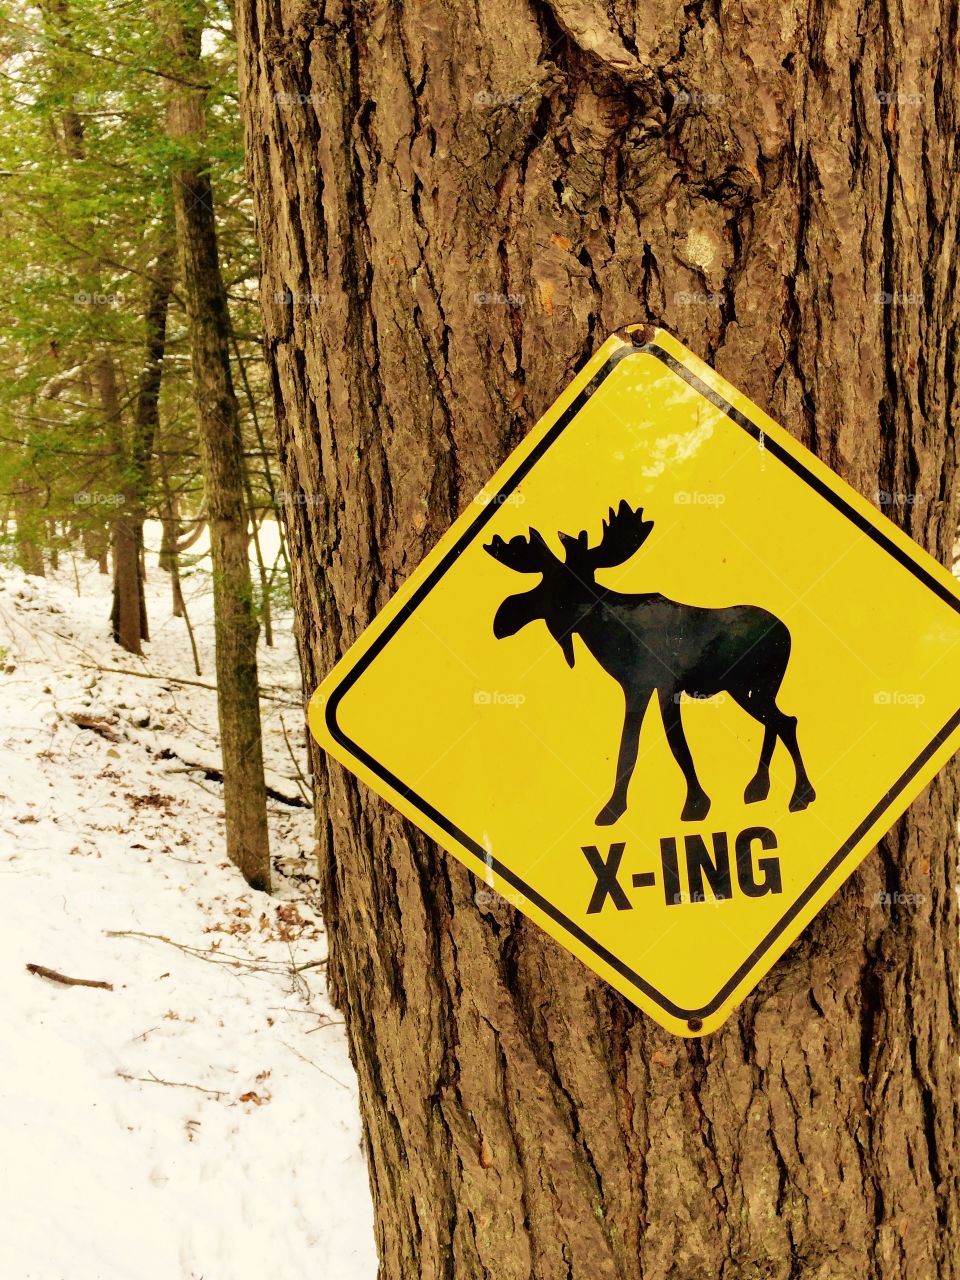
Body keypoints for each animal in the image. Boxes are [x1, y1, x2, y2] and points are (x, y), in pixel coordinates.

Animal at [484, 500, 816, 825]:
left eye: (569, 586)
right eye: (544, 582)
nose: (503, 619)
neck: (610, 635)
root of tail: (787, 634)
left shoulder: (664, 685)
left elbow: (676, 745)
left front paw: (695, 805)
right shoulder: (636, 687)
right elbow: (629, 747)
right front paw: (614, 808)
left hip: (749, 687)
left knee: (786, 722)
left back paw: (800, 795)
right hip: (758, 689)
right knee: (774, 724)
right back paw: (759, 788)